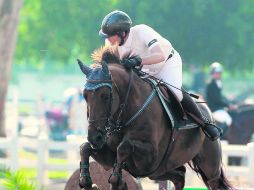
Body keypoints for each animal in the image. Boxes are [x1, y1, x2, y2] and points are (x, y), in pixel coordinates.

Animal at [77, 46, 234, 190]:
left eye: (105, 96)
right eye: (85, 95)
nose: (95, 138)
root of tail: (209, 113)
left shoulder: (150, 158)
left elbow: (124, 147)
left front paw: (117, 181)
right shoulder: (109, 159)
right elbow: (85, 148)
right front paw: (86, 181)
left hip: (210, 168)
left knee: (212, 181)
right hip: (160, 171)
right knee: (180, 175)